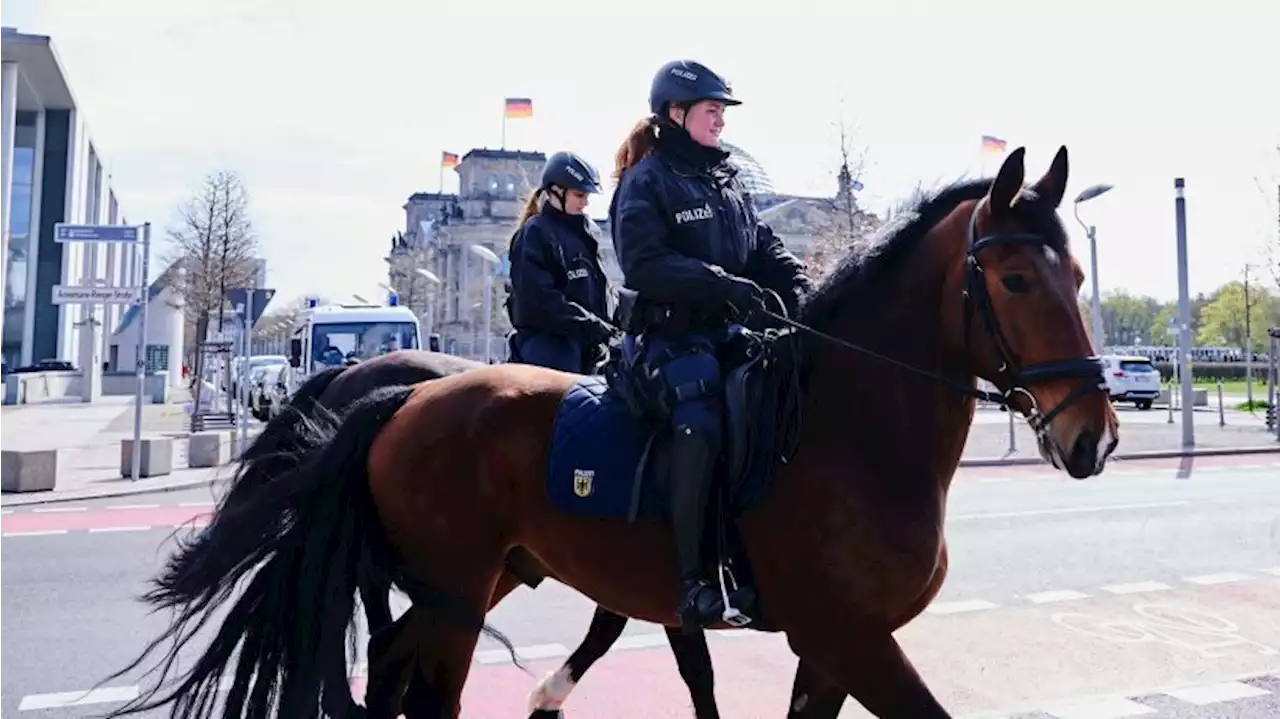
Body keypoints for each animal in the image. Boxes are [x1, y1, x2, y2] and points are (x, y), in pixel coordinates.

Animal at [104, 145, 1116, 716]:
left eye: (1075, 273)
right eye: (1014, 279)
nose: (1095, 435)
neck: (846, 435)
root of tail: (402, 399)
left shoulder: (820, 646)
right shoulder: (847, 635)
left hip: (467, 580)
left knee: (390, 665)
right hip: (454, 592)